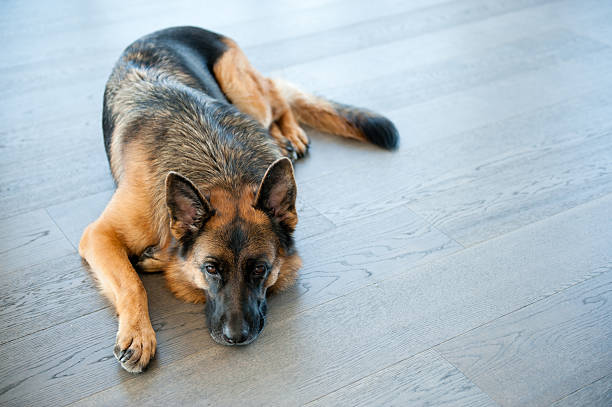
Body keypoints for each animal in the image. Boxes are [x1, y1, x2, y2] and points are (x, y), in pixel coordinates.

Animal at [79, 26, 400, 372]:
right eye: (211, 269)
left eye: (260, 269)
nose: (236, 337)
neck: (222, 169)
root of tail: (170, 29)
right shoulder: (99, 235)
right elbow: (132, 283)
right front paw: (139, 333)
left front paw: (158, 263)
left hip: (245, 93)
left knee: (277, 97)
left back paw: (290, 134)